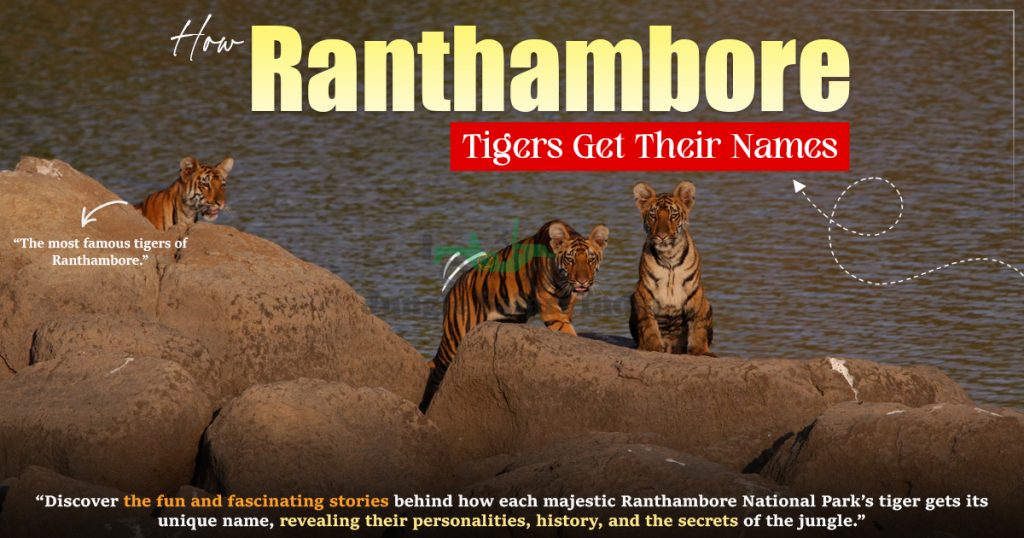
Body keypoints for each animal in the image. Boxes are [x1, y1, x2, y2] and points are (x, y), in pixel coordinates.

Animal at [419, 220, 609, 412]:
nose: (582, 282)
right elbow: (566, 330)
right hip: (455, 337)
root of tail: (450, 293)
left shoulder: (565, 305)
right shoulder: (550, 307)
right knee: (436, 370)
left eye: (591, 259)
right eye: (570, 259)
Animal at [629, 181, 714, 356]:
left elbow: (698, 325)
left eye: (673, 215)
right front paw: (652, 347)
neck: (669, 256)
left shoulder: (696, 294)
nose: (662, 236)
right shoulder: (642, 294)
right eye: (653, 215)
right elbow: (648, 326)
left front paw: (700, 351)